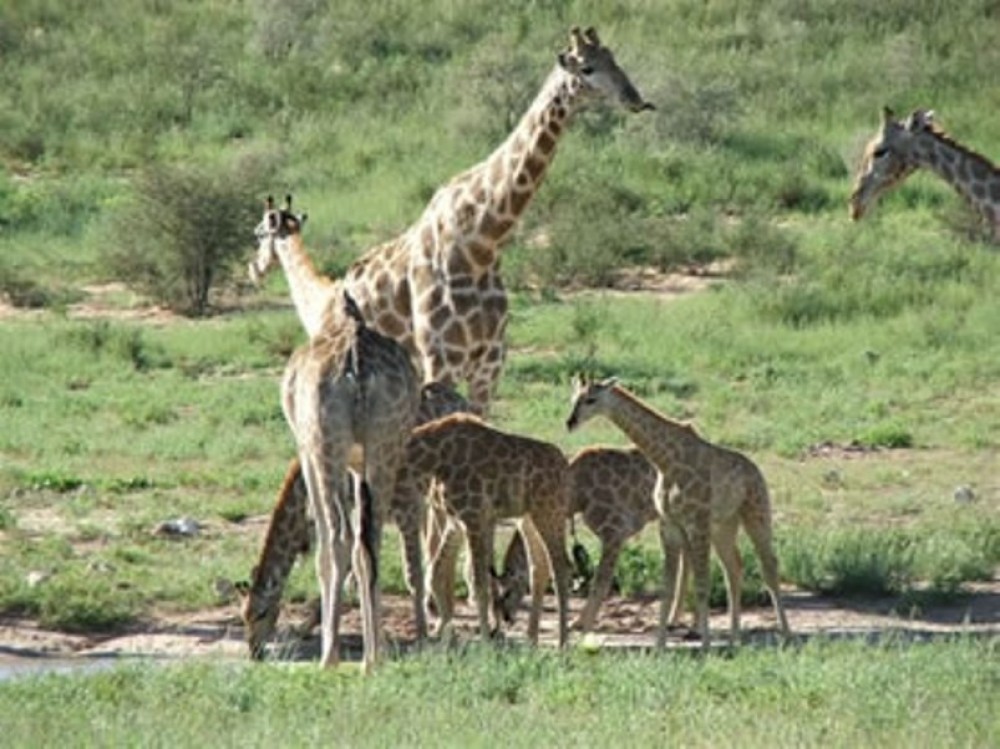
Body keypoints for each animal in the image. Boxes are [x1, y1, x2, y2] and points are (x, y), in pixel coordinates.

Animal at [235, 382, 472, 656]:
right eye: (243, 615)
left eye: (262, 613)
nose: (254, 651)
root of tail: (460, 399)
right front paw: (305, 628)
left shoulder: (396, 510)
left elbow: (397, 573)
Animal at [254, 196, 422, 668]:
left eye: (258, 233)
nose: (255, 267)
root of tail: (355, 363)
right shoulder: (358, 459)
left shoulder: (306, 447)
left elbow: (327, 546)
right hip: (385, 446)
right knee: (370, 540)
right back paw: (373, 658)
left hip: (326, 444)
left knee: (339, 537)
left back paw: (333, 656)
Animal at [396, 412, 576, 644]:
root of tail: (565, 468)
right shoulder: (458, 519)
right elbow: (437, 572)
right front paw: (447, 636)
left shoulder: (473, 516)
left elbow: (478, 581)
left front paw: (484, 641)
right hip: (530, 517)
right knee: (540, 566)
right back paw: (532, 639)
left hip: (549, 510)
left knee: (562, 567)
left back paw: (563, 643)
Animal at [564, 376, 788, 644]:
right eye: (573, 398)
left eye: (591, 399)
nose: (570, 422)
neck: (666, 462)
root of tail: (755, 470)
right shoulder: (670, 524)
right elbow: (668, 588)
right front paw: (660, 645)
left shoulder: (692, 522)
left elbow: (701, 583)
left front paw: (705, 644)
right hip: (724, 524)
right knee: (734, 567)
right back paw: (734, 637)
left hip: (756, 512)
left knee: (769, 566)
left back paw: (786, 634)